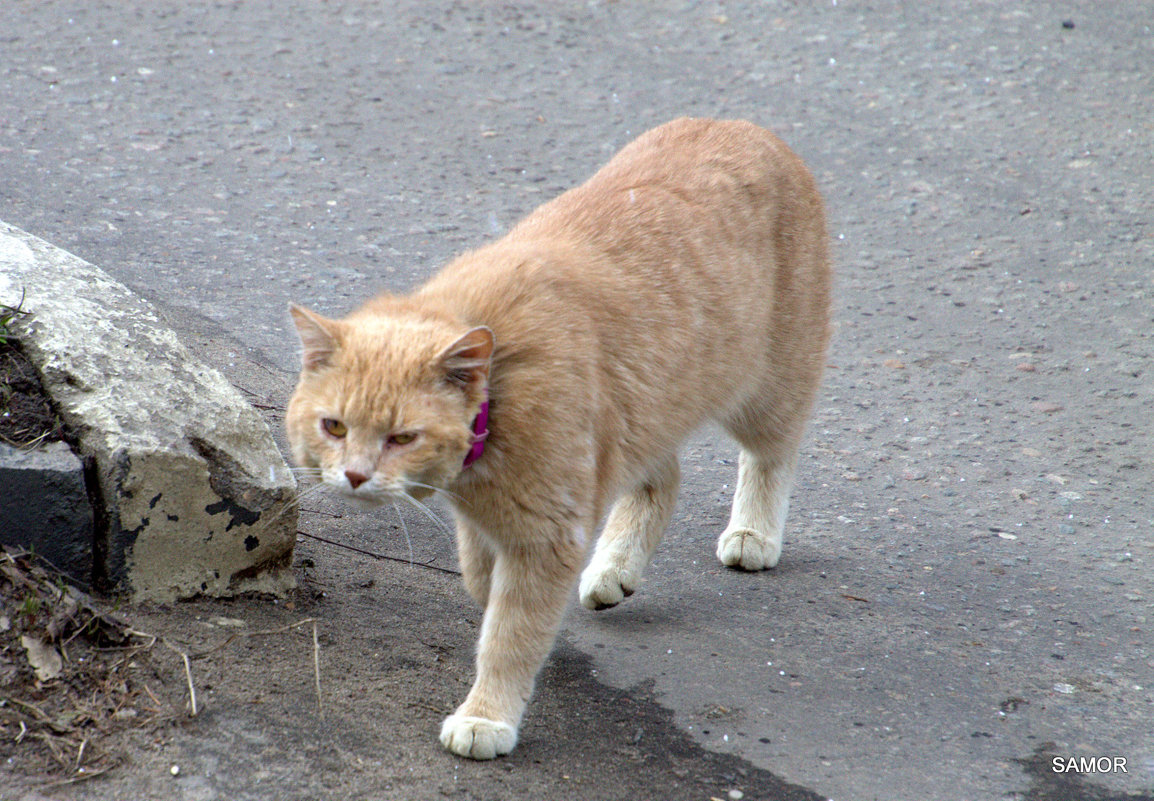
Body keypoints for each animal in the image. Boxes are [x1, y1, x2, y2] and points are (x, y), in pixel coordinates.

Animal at [286, 115, 830, 761]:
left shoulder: (545, 536)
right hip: (644, 415)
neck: (499, 396)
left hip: (767, 390)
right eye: (334, 426)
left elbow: (510, 631)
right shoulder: (496, 523)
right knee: (662, 479)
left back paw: (753, 534)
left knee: (772, 455)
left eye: (401, 437)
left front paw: (489, 713)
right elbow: (483, 585)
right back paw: (614, 568)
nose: (354, 475)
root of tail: (740, 124)